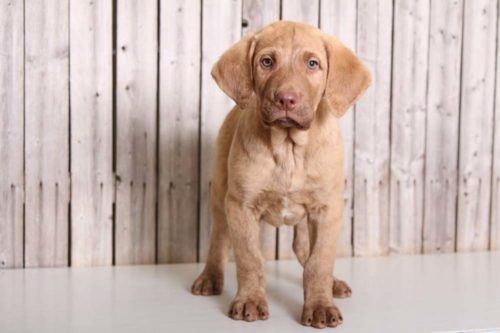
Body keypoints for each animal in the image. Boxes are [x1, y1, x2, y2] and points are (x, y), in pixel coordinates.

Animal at [191, 21, 372, 330]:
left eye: (312, 64)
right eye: (267, 62)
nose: (286, 99)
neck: (288, 148)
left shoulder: (327, 209)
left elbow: (319, 261)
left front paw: (320, 304)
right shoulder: (241, 206)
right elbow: (250, 258)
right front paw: (249, 300)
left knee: (303, 249)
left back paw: (332, 283)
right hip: (221, 194)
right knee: (219, 237)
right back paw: (210, 277)